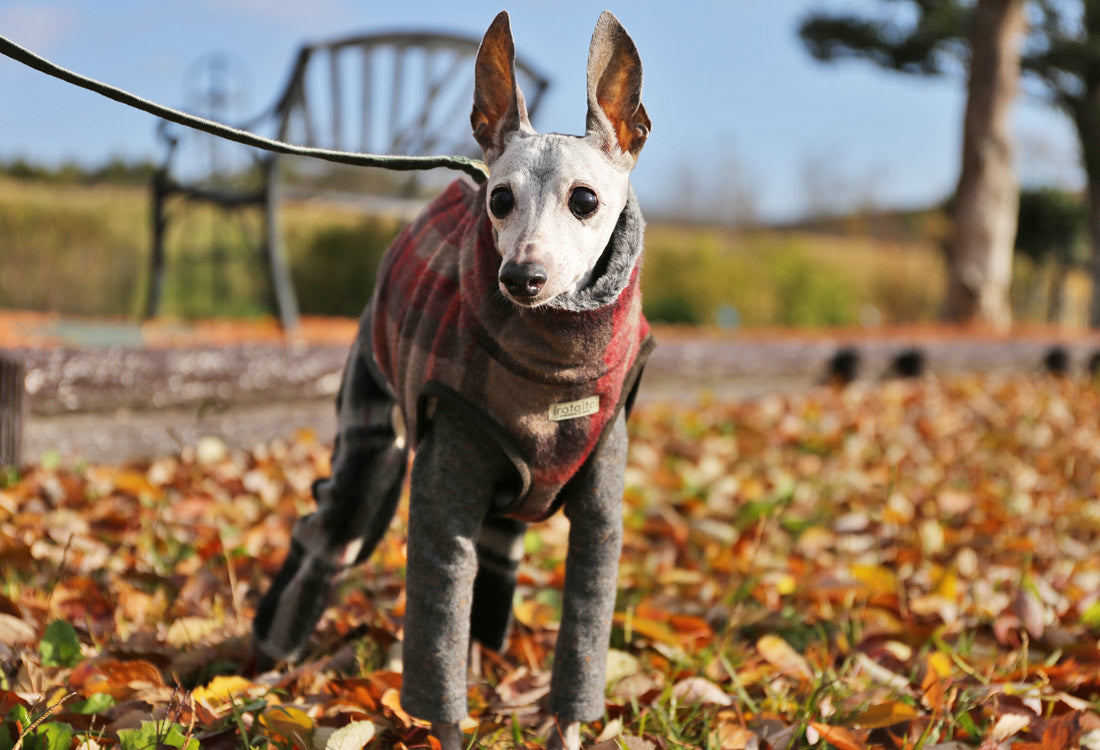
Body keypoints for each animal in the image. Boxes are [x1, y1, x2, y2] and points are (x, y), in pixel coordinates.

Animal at [255, 11, 651, 747]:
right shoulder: (445, 496)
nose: (520, 277)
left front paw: (564, 725)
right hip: (372, 441)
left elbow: (581, 640)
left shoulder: (600, 518)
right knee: (333, 527)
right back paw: (268, 656)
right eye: (501, 199)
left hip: (499, 511)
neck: (555, 364)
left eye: (585, 200)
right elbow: (437, 634)